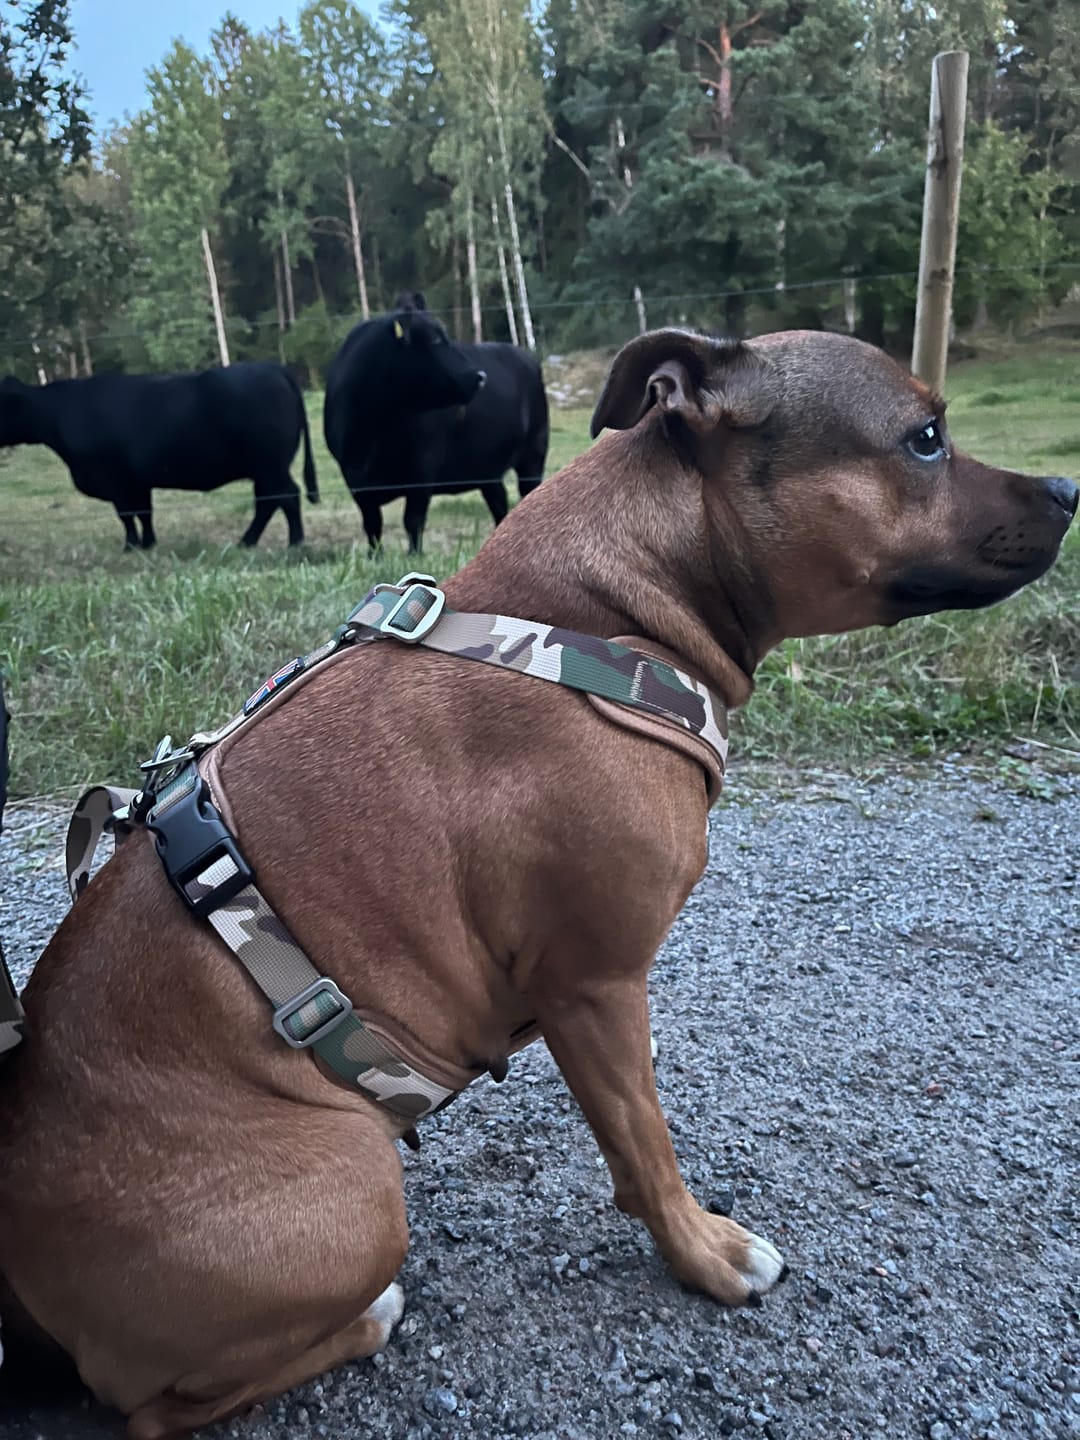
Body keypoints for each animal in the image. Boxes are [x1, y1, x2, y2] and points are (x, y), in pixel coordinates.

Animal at [0, 363, 318, 550]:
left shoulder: (115, 481)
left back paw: (294, 543)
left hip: (270, 464)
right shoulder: (136, 482)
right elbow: (144, 513)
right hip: (264, 468)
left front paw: (131, 546)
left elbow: (127, 516)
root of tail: (271, 367)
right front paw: (148, 543)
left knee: (287, 496)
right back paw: (247, 542)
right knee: (269, 501)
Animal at [324, 301, 549, 553]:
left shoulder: (423, 469)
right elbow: (372, 525)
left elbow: (412, 519)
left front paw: (414, 554)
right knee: (499, 502)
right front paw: (376, 556)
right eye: (434, 340)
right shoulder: (355, 481)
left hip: (534, 452)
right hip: (487, 468)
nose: (480, 376)